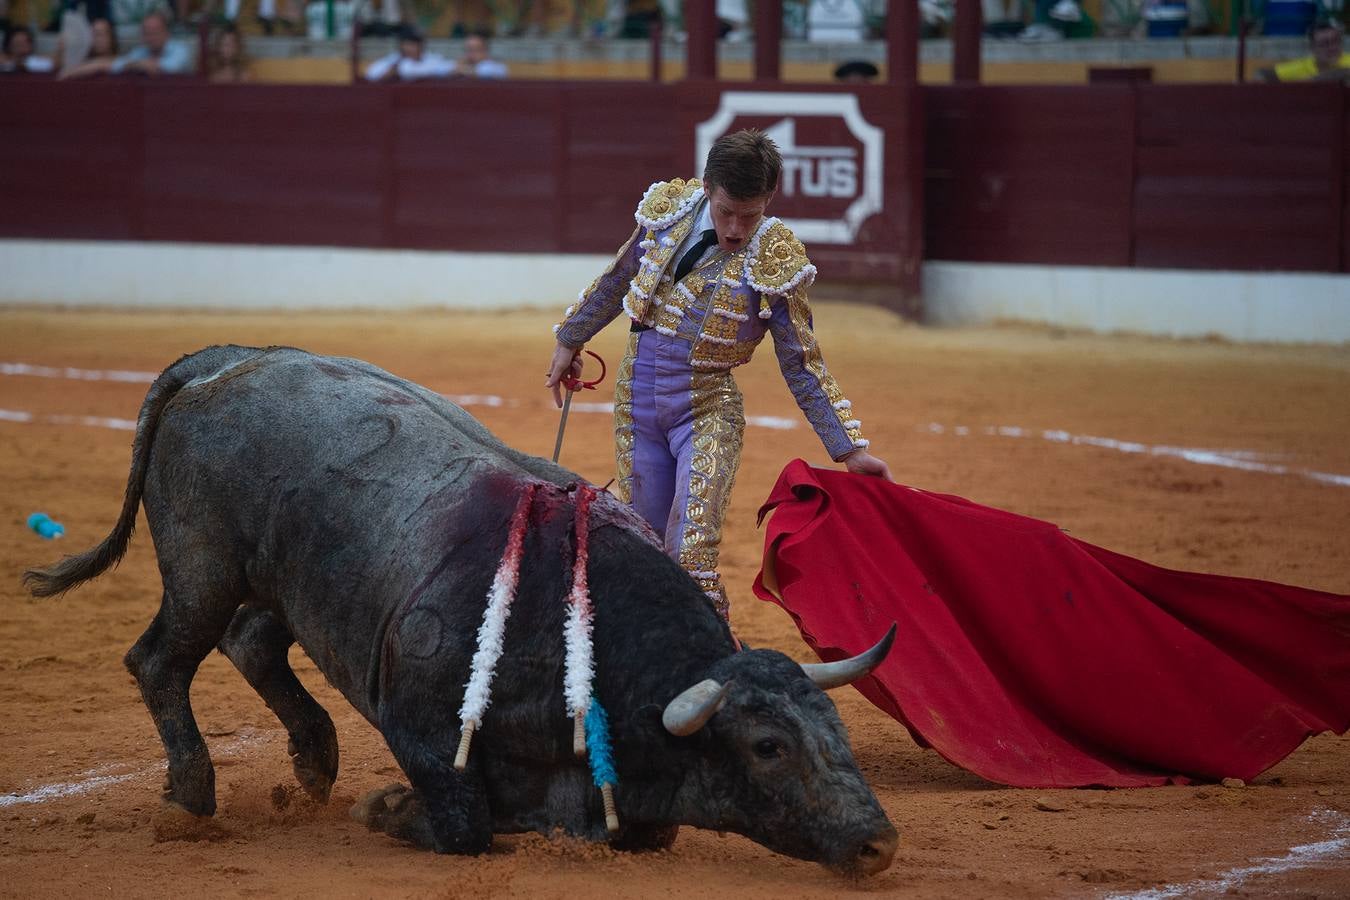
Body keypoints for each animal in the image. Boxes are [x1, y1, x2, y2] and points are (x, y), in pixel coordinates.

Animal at [23, 342, 896, 874]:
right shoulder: (421, 728)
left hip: (281, 576)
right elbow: (466, 825)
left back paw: (314, 762)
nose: (878, 843)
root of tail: (227, 361)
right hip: (203, 568)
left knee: (251, 643)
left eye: (836, 731)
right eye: (767, 747)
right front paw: (386, 805)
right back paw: (192, 797)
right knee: (161, 659)